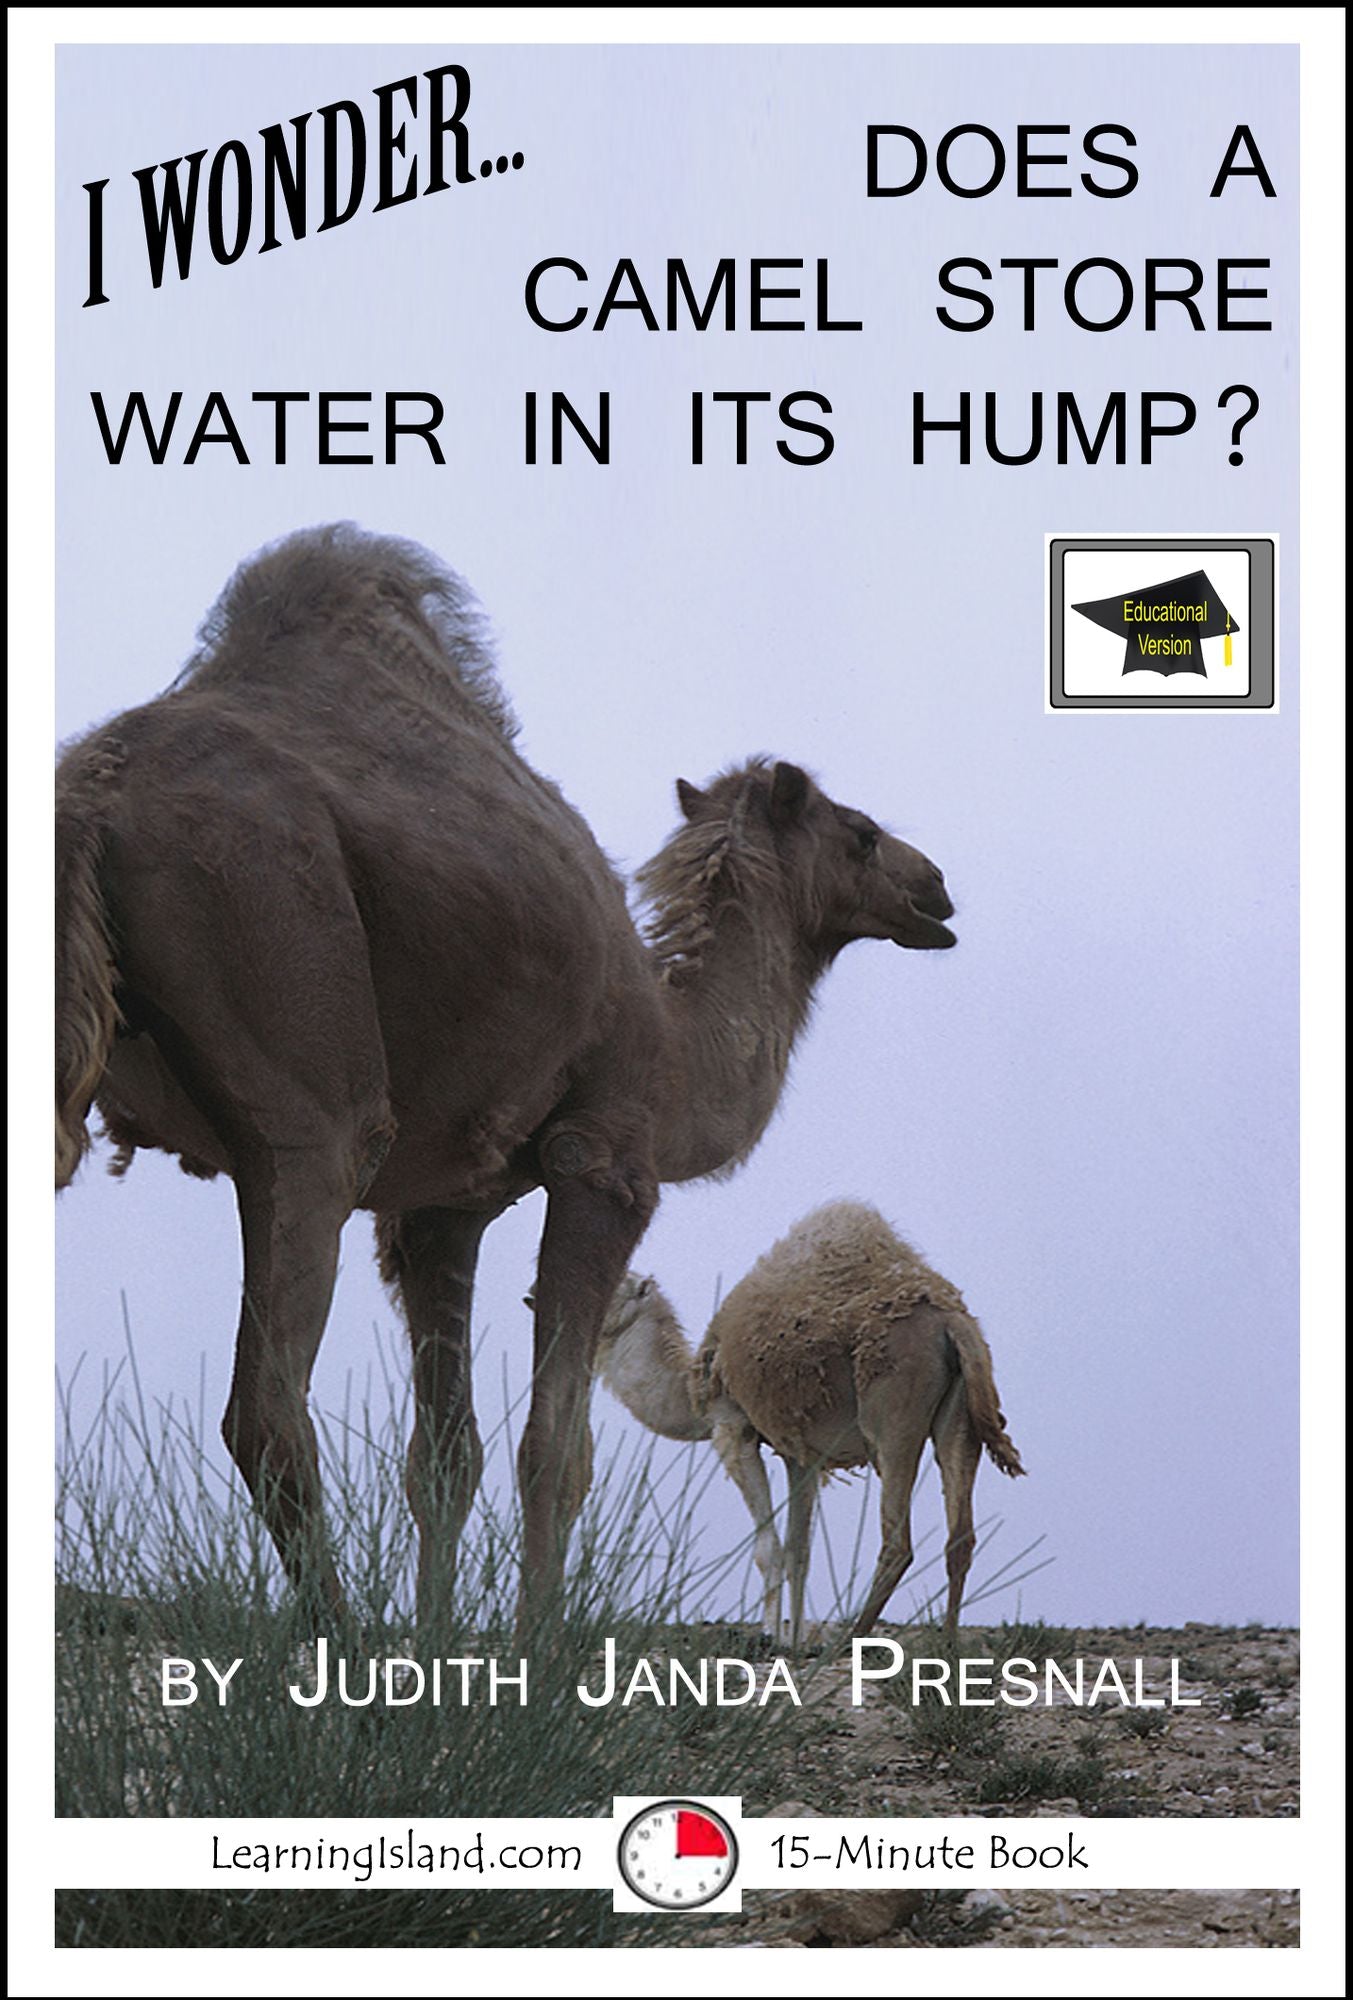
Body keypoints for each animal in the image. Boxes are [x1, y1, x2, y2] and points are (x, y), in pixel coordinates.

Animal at [54, 525, 957, 1636]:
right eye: (859, 832)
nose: (934, 888)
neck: (675, 1046)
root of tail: (92, 789)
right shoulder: (603, 1159)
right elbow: (554, 1453)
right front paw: (538, 1648)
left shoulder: (439, 1210)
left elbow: (445, 1458)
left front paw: (445, 1643)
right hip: (291, 1004)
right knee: (264, 1401)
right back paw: (339, 1645)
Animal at [596, 1202, 1024, 1645]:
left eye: (613, 1281)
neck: (691, 1387)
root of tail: (954, 1324)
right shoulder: (801, 1454)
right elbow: (799, 1551)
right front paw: (795, 1639)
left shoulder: (732, 1428)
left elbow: (768, 1549)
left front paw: (771, 1635)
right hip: (960, 1417)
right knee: (960, 1535)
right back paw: (948, 1643)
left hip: (892, 1416)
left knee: (897, 1542)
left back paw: (853, 1641)